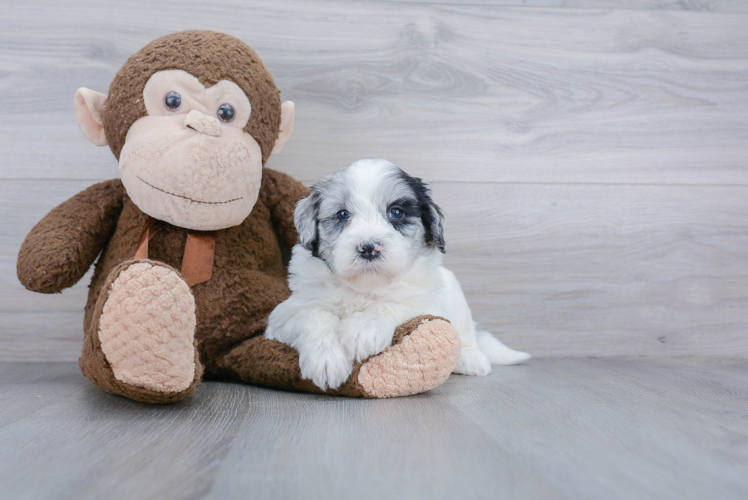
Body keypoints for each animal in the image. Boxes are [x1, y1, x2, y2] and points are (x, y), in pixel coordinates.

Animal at [266, 160, 528, 390]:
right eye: (342, 214)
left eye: (396, 212)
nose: (368, 247)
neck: (366, 286)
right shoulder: (284, 315)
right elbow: (314, 315)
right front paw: (326, 360)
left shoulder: (426, 302)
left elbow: (397, 304)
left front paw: (363, 329)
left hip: (455, 294)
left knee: (466, 333)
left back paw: (470, 358)